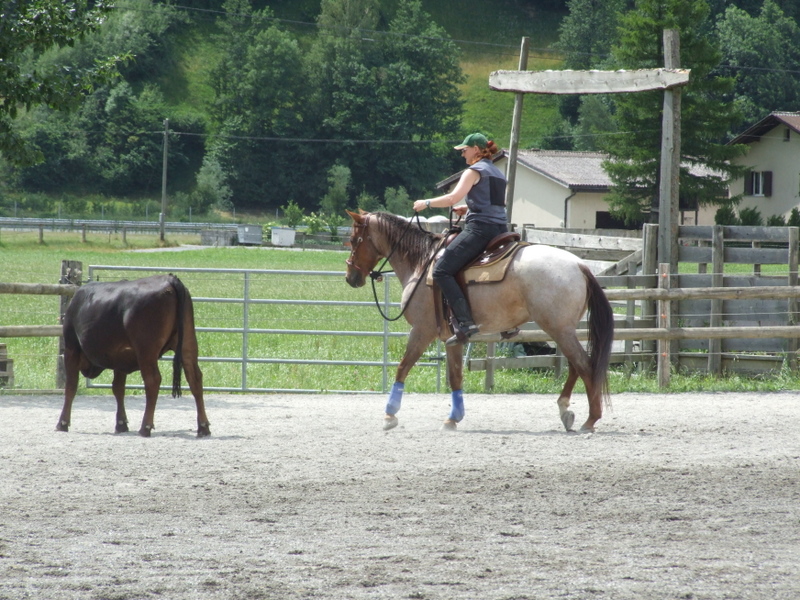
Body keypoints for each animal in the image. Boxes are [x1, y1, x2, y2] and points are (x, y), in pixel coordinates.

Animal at [56, 274, 210, 437]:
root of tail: (169, 278)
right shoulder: (119, 359)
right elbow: (118, 388)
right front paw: (121, 423)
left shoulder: (71, 349)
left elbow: (71, 386)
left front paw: (62, 423)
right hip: (188, 344)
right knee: (195, 379)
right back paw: (203, 427)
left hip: (146, 351)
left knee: (153, 380)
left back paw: (145, 427)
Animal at [345, 210, 614, 433]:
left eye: (354, 240)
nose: (350, 277)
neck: (422, 264)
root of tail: (579, 265)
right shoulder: (452, 338)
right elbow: (455, 376)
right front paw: (453, 418)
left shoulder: (421, 331)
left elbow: (403, 367)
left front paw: (390, 415)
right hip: (564, 330)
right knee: (575, 366)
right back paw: (566, 410)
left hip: (559, 330)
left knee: (585, 365)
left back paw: (590, 420)